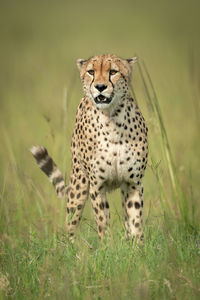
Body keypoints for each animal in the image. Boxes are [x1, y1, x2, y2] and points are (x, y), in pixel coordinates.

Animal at [30, 53, 148, 241]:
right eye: (91, 72)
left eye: (113, 72)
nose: (100, 87)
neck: (112, 119)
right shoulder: (97, 186)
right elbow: (102, 221)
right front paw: (107, 245)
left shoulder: (133, 183)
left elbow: (135, 220)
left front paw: (137, 246)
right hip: (79, 185)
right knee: (71, 221)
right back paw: (71, 246)